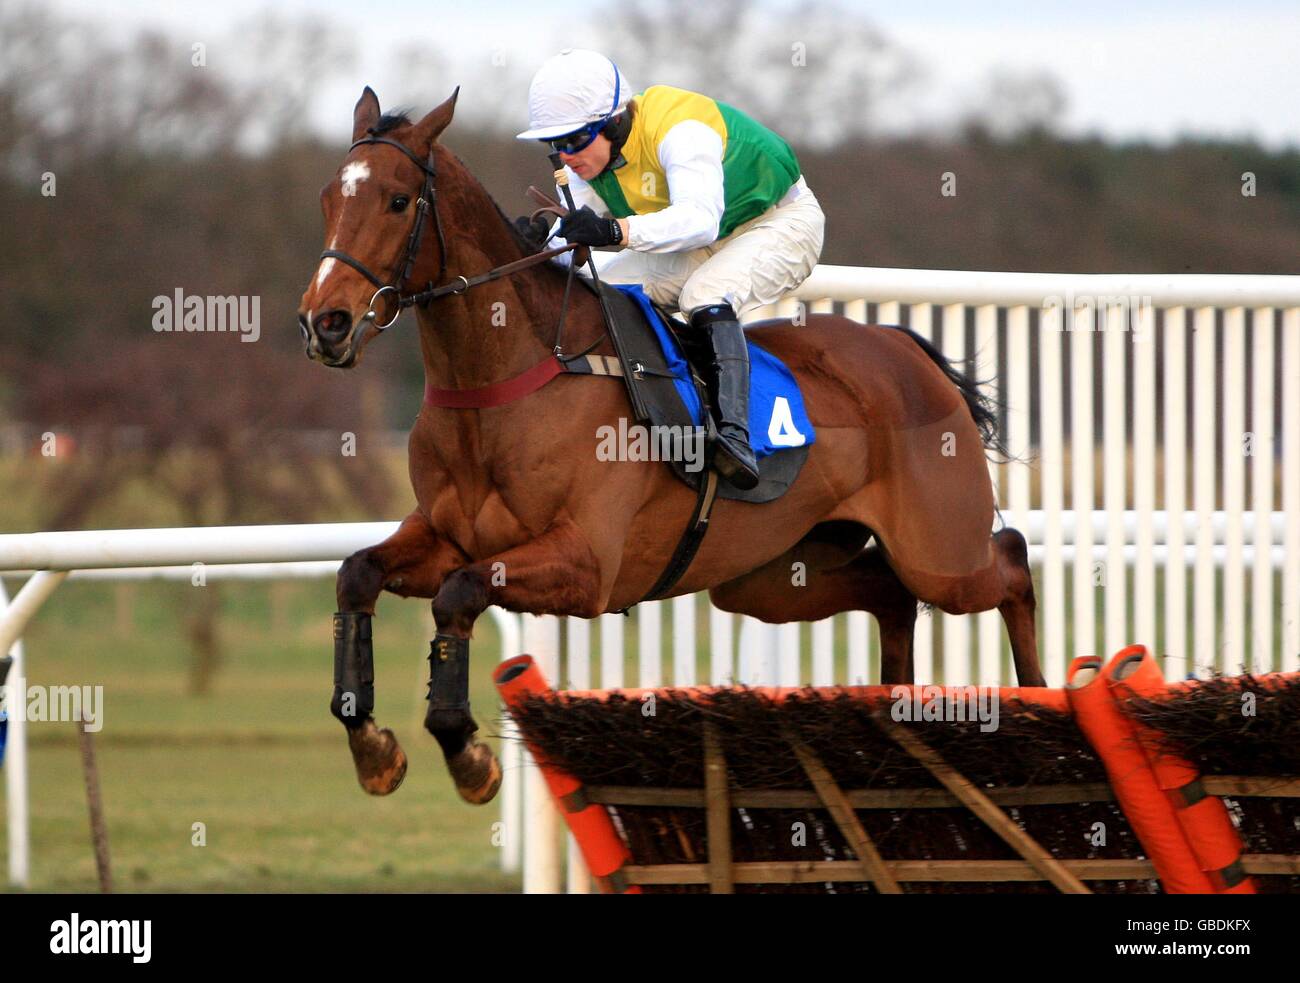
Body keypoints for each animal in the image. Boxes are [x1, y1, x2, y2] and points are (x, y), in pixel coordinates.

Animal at [297, 87, 1044, 805]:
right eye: (330, 198)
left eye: (398, 200)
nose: (325, 323)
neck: (509, 378)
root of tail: (905, 349)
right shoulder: (446, 533)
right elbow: (357, 573)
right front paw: (374, 747)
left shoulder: (587, 565)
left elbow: (459, 593)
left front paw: (466, 753)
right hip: (773, 575)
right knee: (889, 595)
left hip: (939, 553)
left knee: (1007, 561)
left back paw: (1039, 699)